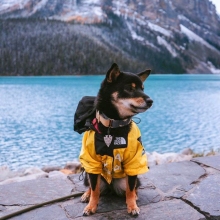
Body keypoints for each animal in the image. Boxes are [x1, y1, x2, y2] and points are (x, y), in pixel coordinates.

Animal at [79, 62, 153, 216]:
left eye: (142, 88)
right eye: (129, 88)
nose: (151, 101)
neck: (112, 125)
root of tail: (110, 188)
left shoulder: (133, 162)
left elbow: (130, 189)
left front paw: (132, 206)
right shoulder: (92, 162)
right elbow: (94, 190)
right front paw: (91, 206)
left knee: (133, 187)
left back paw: (135, 196)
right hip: (88, 172)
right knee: (92, 186)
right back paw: (86, 195)